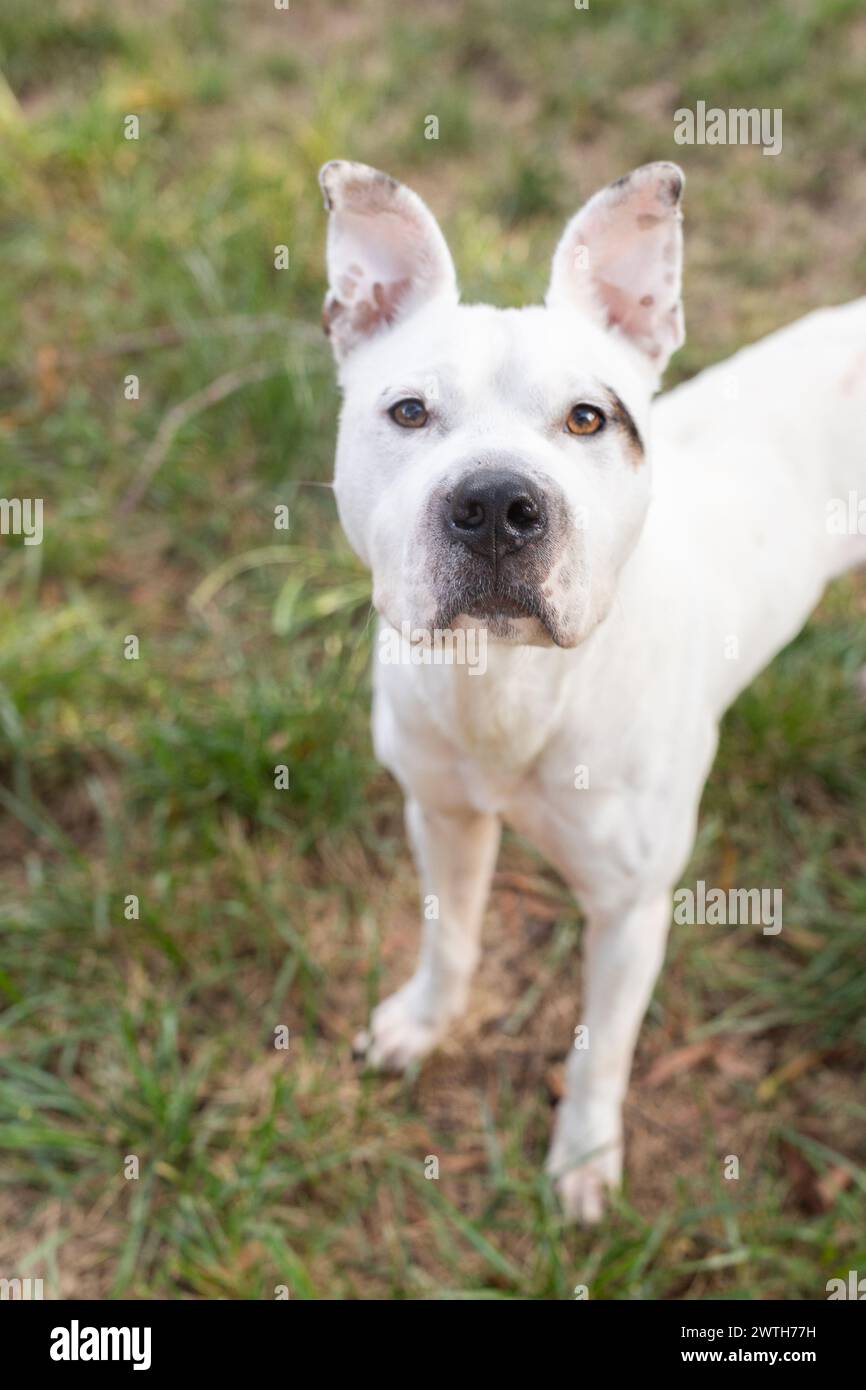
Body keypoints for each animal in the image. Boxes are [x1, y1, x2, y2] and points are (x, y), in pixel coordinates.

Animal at [318, 159, 866, 1217]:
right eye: (408, 412)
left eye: (588, 418)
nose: (496, 503)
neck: (512, 682)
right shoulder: (442, 817)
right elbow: (451, 940)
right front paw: (425, 1023)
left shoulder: (631, 910)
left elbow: (602, 1046)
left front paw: (583, 1156)